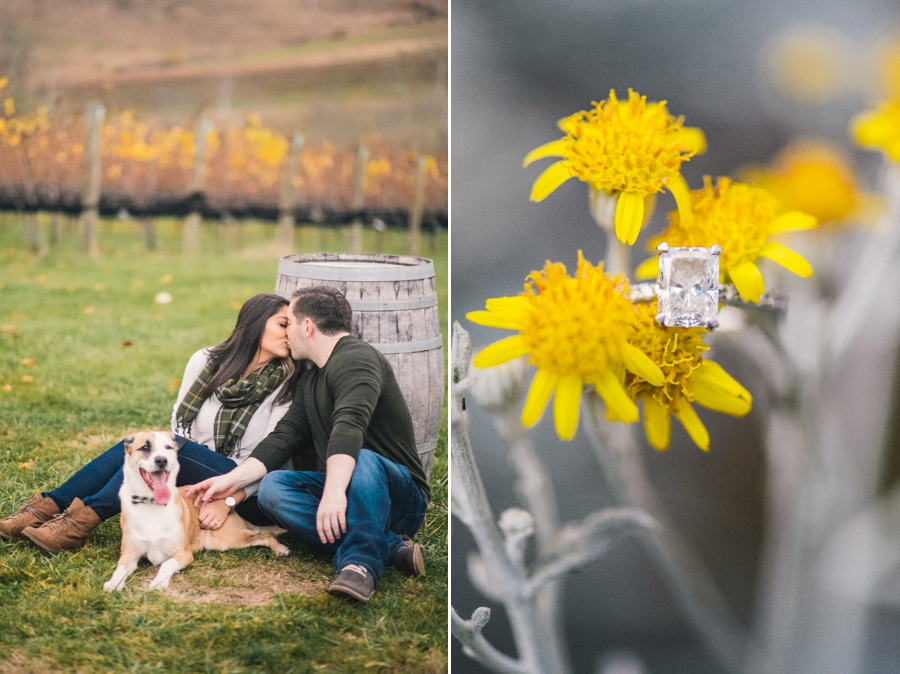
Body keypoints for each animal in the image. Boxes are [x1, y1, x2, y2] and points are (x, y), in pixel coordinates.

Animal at [105, 428, 288, 592]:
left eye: (168, 447)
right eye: (144, 447)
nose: (162, 460)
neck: (152, 504)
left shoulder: (184, 554)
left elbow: (166, 564)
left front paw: (159, 582)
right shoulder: (129, 555)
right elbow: (120, 569)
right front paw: (113, 583)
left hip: (225, 540)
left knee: (266, 535)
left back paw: (280, 548)